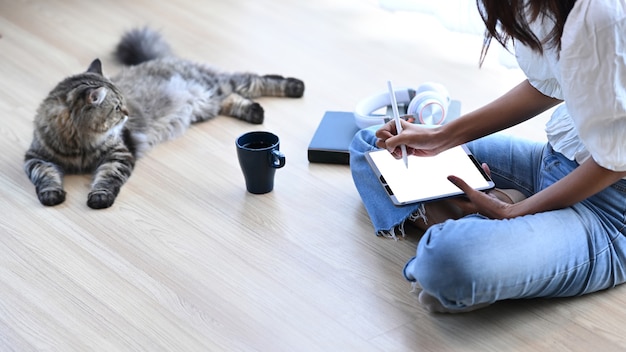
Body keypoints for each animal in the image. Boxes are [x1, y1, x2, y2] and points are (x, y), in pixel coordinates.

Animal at [24, 28, 304, 209]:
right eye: (117, 108)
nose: (127, 113)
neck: (79, 146)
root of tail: (163, 58)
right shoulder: (36, 158)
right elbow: (45, 177)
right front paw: (51, 195)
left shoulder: (118, 155)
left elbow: (106, 178)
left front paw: (99, 198)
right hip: (207, 104)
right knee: (232, 98)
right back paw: (254, 112)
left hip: (218, 84)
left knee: (256, 79)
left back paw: (295, 87)